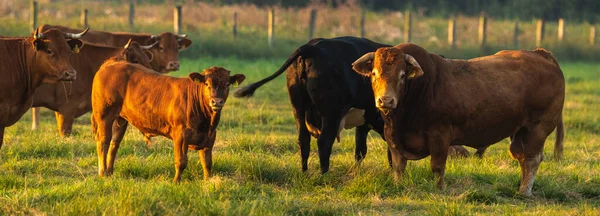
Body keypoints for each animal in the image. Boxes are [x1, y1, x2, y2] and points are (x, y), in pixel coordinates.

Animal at [92, 62, 246, 182]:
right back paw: (102, 172)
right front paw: (176, 181)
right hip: (104, 115)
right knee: (103, 141)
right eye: (206, 84)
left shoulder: (210, 136)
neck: (207, 121)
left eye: (227, 84)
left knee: (115, 143)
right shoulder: (181, 135)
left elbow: (207, 163)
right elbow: (181, 161)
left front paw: (208, 181)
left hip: (121, 119)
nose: (216, 102)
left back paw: (110, 172)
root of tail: (110, 64)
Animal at [352, 43, 564, 196]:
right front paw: (399, 186)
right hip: (519, 132)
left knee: (531, 159)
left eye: (402, 75)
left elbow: (437, 167)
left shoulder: (440, 135)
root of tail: (539, 54)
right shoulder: (393, 138)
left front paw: (439, 191)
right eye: (374, 73)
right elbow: (398, 167)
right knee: (521, 156)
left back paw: (524, 192)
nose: (386, 100)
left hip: (538, 128)